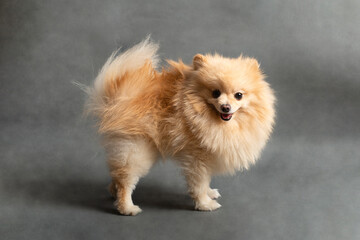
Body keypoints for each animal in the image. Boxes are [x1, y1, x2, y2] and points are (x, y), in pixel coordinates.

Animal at [87, 37, 276, 216]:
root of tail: (117, 99)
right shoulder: (196, 159)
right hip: (136, 150)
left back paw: (113, 193)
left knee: (118, 176)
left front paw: (209, 193)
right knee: (125, 182)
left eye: (238, 95)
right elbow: (199, 184)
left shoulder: (206, 156)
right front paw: (205, 204)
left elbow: (206, 181)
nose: (225, 107)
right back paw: (127, 207)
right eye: (215, 93)